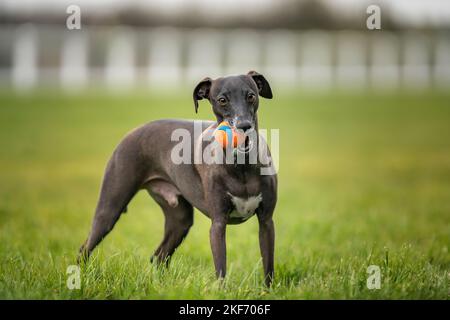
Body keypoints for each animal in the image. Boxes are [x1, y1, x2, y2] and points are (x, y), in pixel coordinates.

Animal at [79, 71, 278, 286]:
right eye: (222, 100)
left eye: (251, 95)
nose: (244, 126)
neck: (242, 165)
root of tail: (133, 132)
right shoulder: (218, 224)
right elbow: (221, 269)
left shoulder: (266, 222)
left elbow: (268, 266)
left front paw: (268, 291)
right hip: (109, 208)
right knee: (86, 248)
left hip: (180, 220)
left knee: (158, 256)